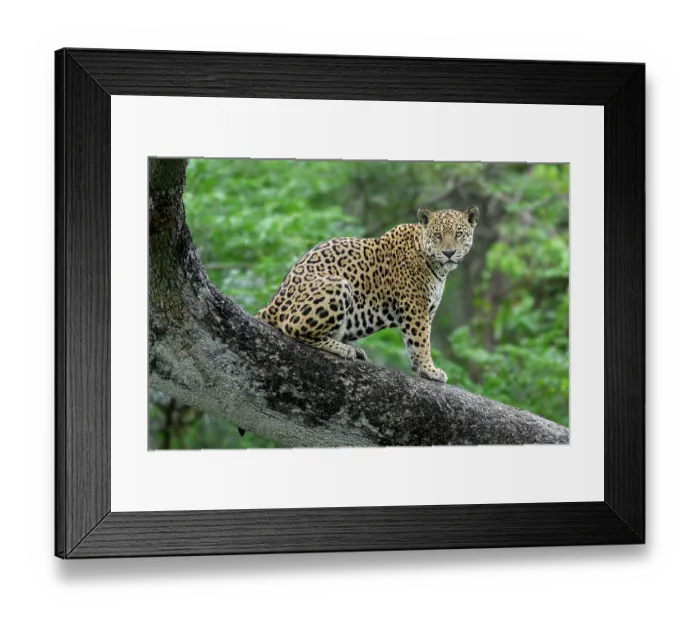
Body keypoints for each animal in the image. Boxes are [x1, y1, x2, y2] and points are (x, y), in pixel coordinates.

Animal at [255, 206, 479, 385]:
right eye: (437, 235)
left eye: (459, 234)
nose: (449, 253)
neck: (437, 267)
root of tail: (271, 305)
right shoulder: (415, 307)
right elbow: (422, 341)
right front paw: (429, 370)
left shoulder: (427, 311)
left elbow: (415, 343)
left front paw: (421, 369)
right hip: (338, 285)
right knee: (293, 327)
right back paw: (344, 349)